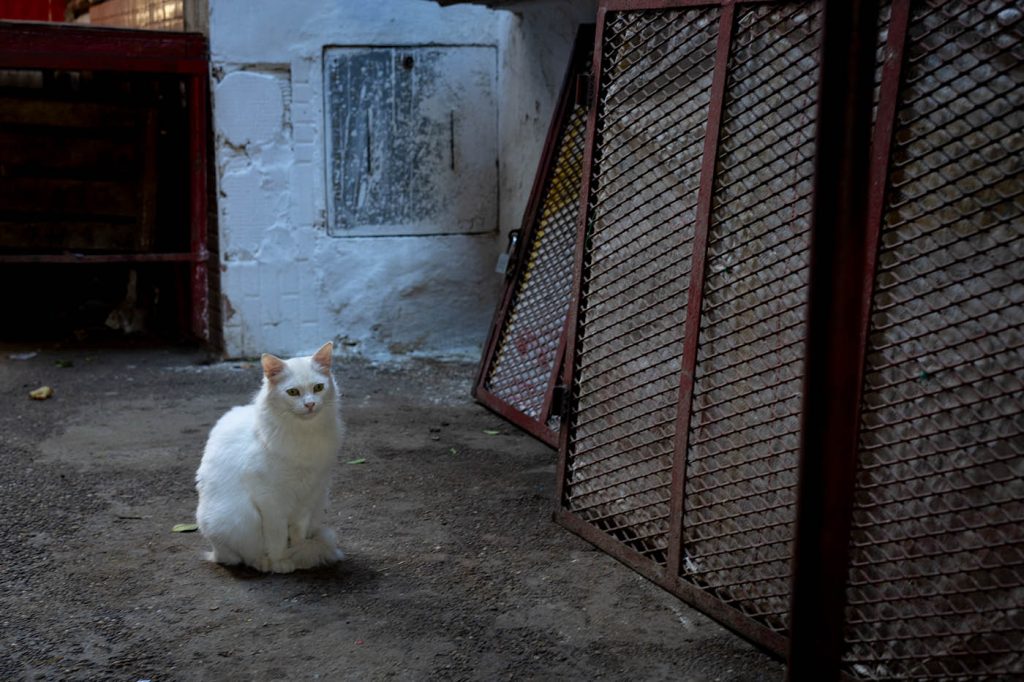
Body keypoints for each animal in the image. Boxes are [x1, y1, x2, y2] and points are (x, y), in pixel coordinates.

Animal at [193, 339, 346, 569]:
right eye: (293, 392)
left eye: (318, 388)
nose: (310, 404)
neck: (305, 434)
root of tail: (214, 550)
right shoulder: (271, 500)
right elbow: (277, 538)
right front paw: (281, 561)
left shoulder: (307, 496)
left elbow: (298, 534)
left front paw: (298, 552)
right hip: (238, 518)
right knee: (239, 557)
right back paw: (264, 563)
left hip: (319, 501)